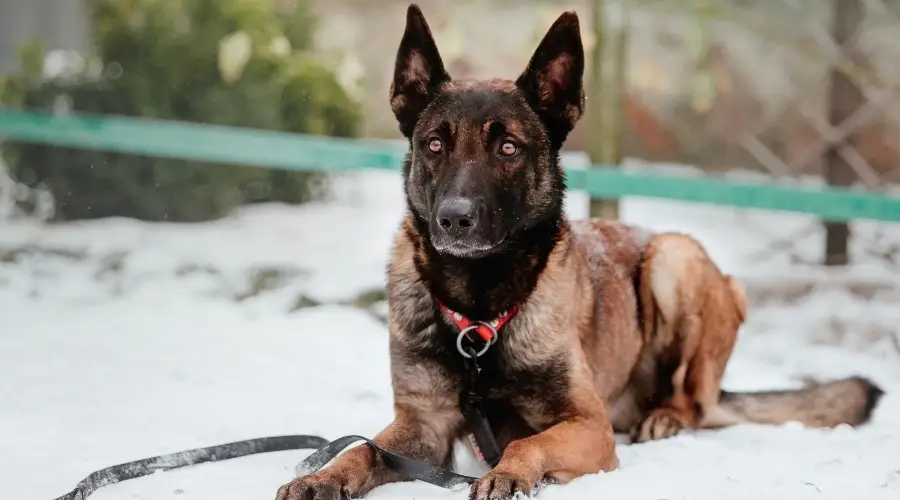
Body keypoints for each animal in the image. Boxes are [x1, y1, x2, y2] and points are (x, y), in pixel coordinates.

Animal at [276, 4, 884, 500]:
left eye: (508, 147)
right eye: (434, 145)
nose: (453, 218)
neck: (480, 313)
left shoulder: (588, 425)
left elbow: (524, 443)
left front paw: (509, 472)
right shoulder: (422, 428)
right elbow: (363, 447)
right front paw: (322, 475)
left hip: (674, 258)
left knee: (697, 400)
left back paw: (665, 417)